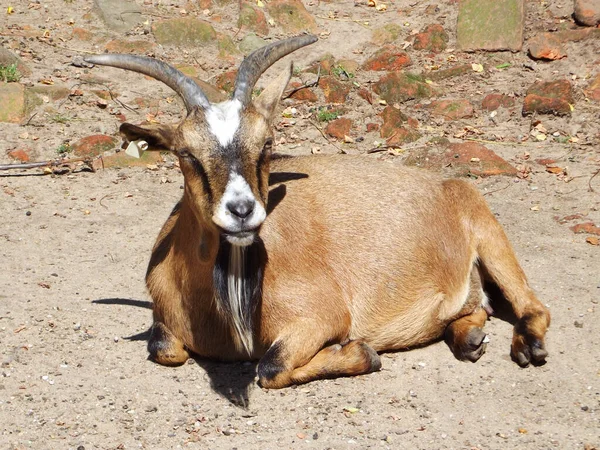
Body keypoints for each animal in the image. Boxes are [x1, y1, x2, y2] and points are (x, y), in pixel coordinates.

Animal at [83, 35, 548, 388]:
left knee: (533, 306)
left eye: (267, 143)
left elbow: (271, 366)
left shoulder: (321, 316)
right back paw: (469, 338)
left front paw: (362, 352)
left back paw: (529, 347)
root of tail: (446, 185)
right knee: (476, 307)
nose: (242, 211)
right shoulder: (166, 322)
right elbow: (165, 349)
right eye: (186, 153)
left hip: (489, 232)